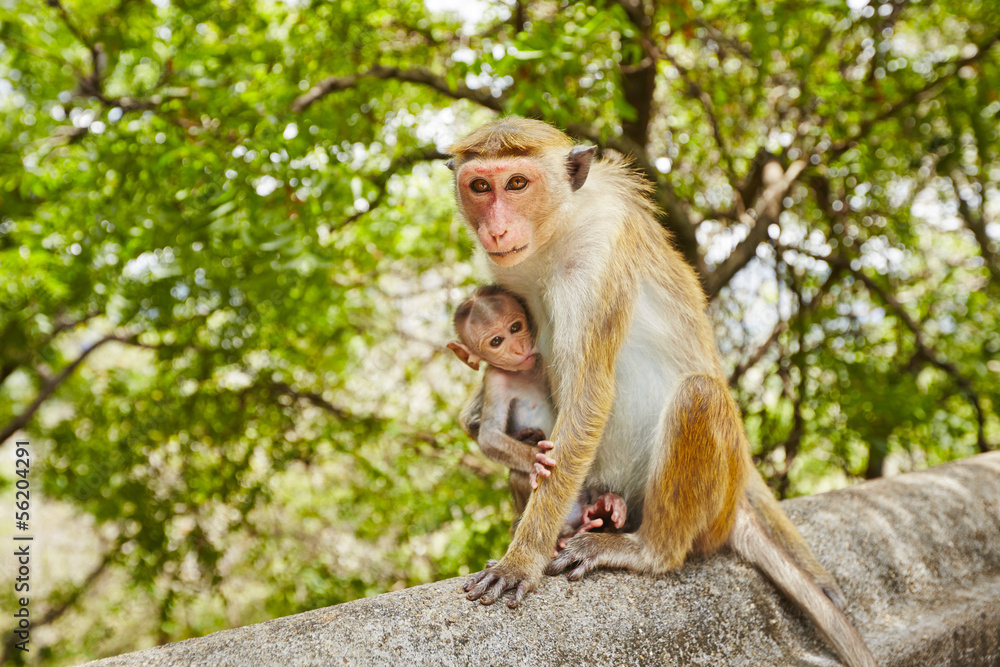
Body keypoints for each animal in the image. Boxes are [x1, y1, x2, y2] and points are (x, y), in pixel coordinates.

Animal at [448, 286, 624, 544]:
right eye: (496, 341)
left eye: (515, 327)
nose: (519, 349)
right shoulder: (494, 379)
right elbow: (489, 435)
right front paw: (536, 458)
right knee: (518, 475)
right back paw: (568, 534)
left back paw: (606, 506)